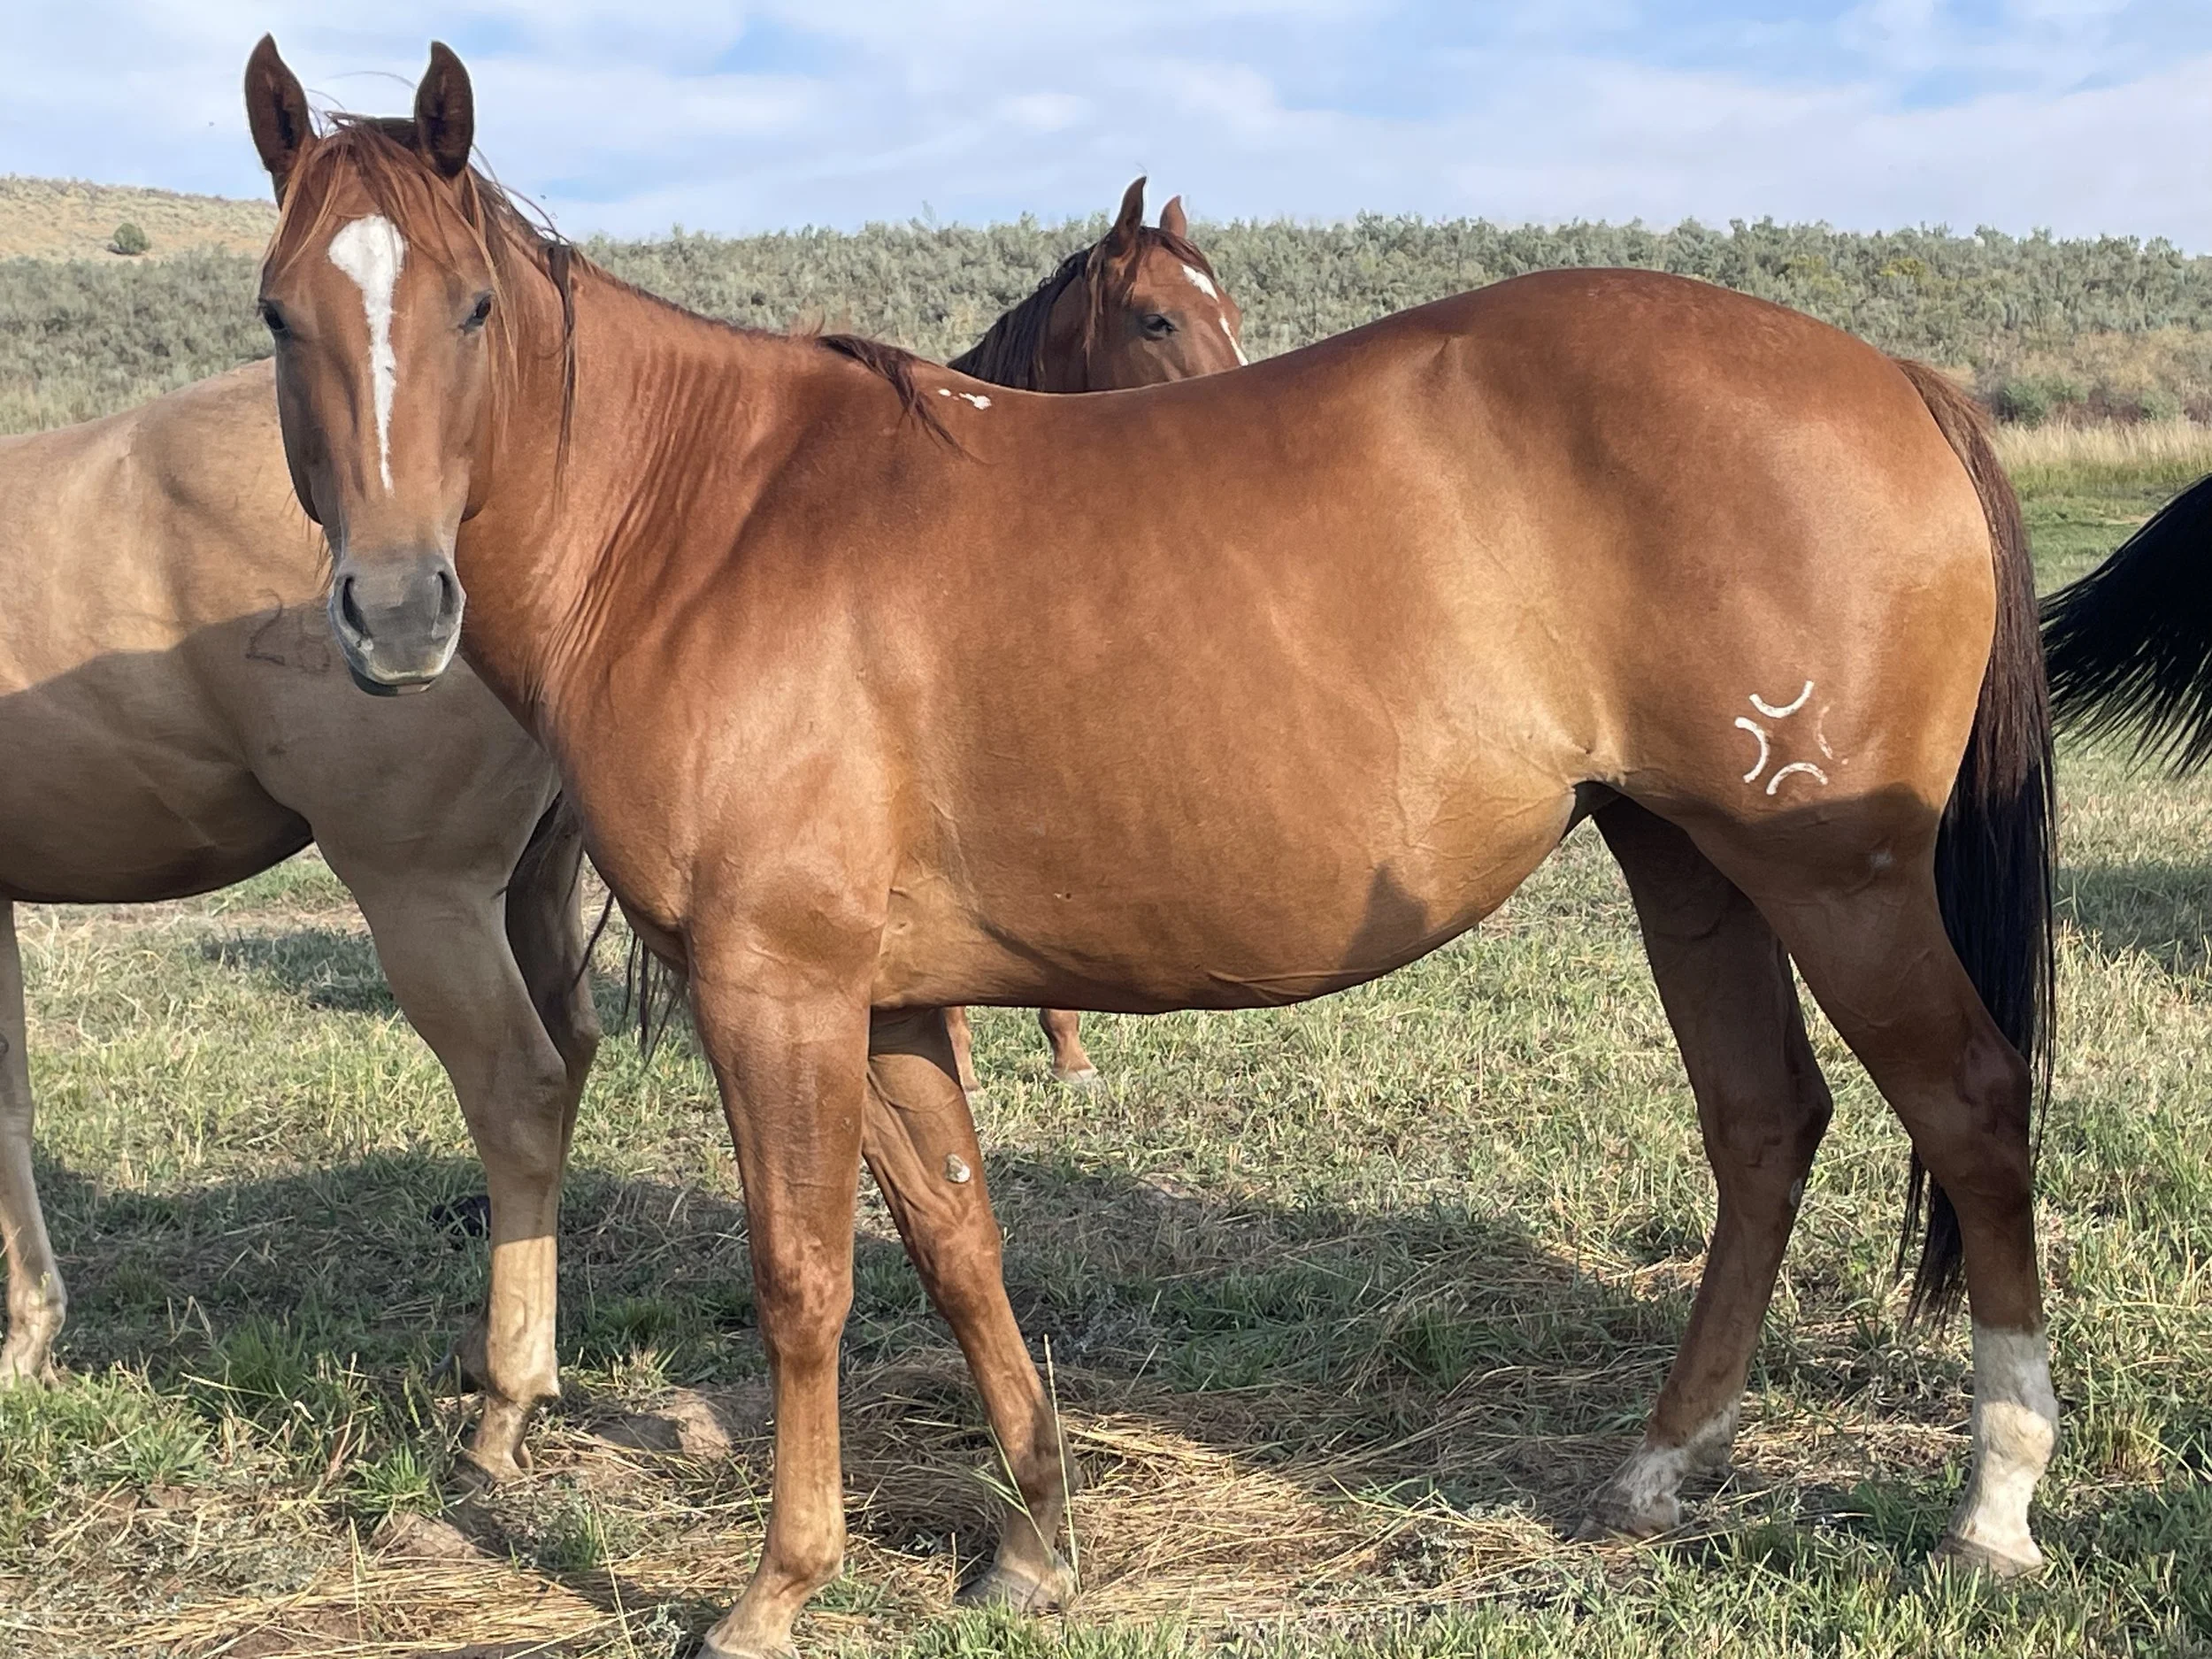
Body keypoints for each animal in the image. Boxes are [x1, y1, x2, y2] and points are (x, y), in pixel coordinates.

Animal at [0, 366, 598, 1483]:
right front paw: (30, 1336)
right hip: (529, 888)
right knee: (570, 1052)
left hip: (423, 894)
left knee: (518, 1092)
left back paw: (507, 1400)